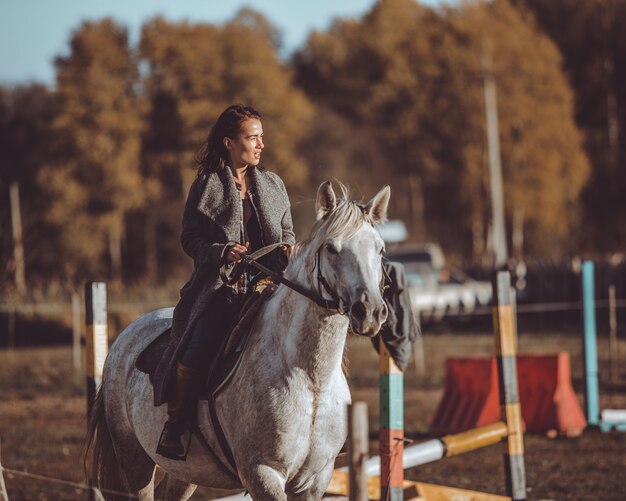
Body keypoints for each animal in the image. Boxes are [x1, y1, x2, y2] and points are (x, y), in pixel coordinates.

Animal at [86, 183, 390, 500]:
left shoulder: (315, 480)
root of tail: (125, 335)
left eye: (380, 249)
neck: (310, 380)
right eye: (331, 248)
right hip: (133, 458)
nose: (370, 311)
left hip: (188, 470)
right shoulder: (262, 474)